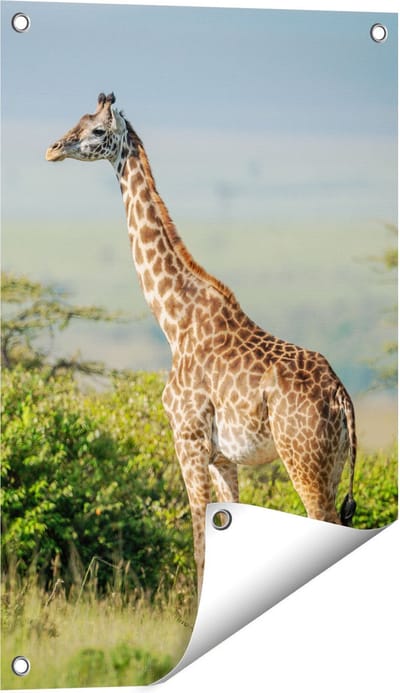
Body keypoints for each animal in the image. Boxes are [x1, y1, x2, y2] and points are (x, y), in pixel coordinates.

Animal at [46, 92, 357, 594]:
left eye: (96, 130)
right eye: (78, 119)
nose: (53, 148)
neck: (174, 320)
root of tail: (342, 396)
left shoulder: (187, 438)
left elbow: (199, 548)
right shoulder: (222, 457)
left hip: (303, 460)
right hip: (330, 465)